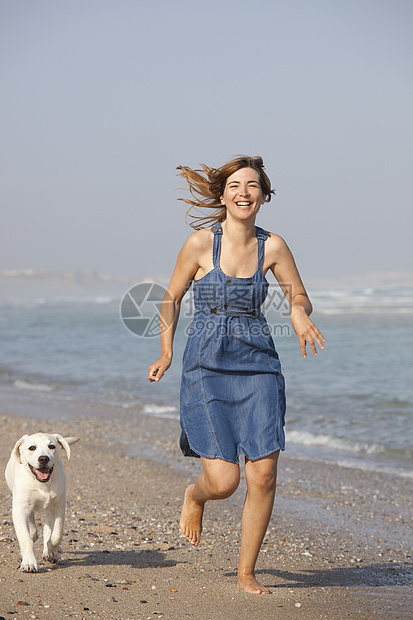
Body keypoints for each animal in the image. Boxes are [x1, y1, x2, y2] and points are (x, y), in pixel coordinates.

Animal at [5, 432, 79, 572]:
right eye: (32, 448)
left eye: (51, 446)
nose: (43, 458)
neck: (42, 484)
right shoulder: (19, 510)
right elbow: (25, 538)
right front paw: (29, 563)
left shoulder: (59, 506)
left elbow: (57, 533)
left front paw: (51, 549)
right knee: (31, 519)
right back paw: (34, 534)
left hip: (49, 508)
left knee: (48, 528)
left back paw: (51, 551)